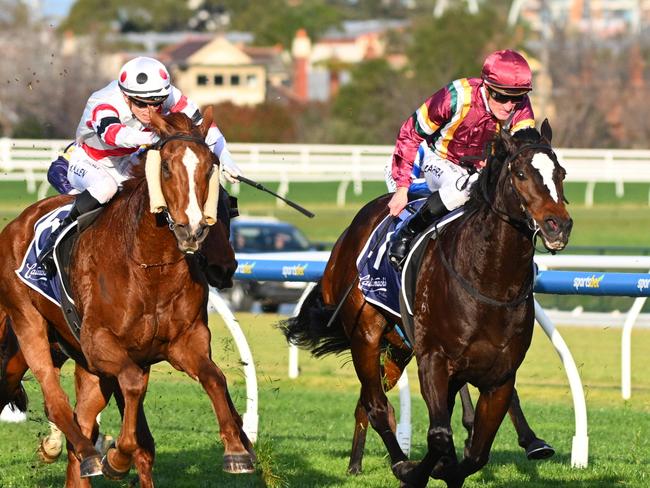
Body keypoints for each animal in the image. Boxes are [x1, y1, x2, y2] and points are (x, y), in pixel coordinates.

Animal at [0, 108, 252, 486]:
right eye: (167, 167)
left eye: (210, 168)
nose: (192, 231)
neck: (150, 265)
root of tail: (16, 224)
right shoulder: (100, 343)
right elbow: (133, 387)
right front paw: (118, 457)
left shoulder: (184, 342)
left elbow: (214, 378)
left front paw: (237, 449)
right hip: (27, 326)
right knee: (56, 403)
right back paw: (91, 453)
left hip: (84, 365)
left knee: (80, 419)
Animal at [280, 120, 568, 486]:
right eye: (519, 173)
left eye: (561, 172)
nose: (558, 225)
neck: (489, 281)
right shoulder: (434, 359)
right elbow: (440, 435)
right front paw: (420, 469)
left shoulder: (500, 376)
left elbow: (475, 451)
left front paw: (455, 462)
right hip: (367, 335)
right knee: (377, 407)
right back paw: (396, 463)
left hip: (398, 348)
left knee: (369, 402)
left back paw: (358, 463)